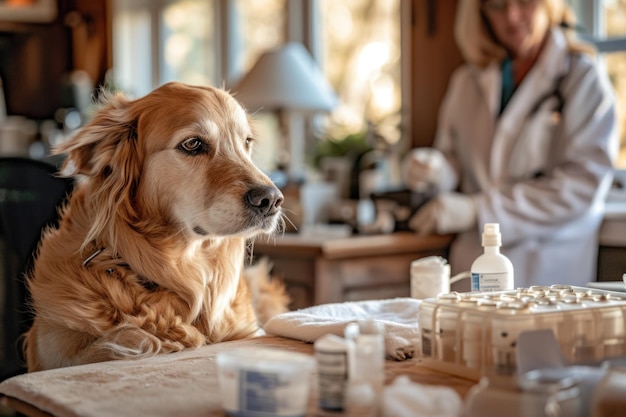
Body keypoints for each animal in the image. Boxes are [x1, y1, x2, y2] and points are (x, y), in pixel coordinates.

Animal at [22, 81, 290, 370]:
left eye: (246, 142)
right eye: (192, 144)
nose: (271, 200)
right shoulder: (52, 346)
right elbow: (131, 338)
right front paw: (168, 337)